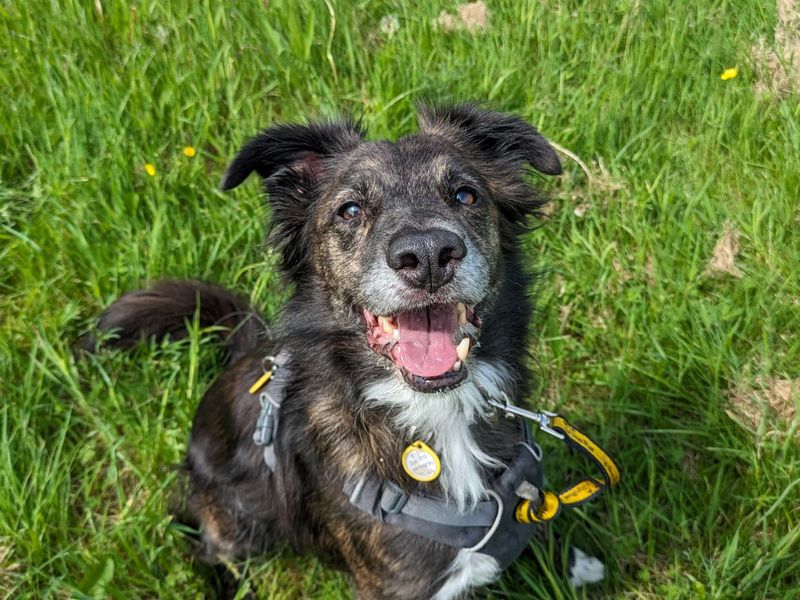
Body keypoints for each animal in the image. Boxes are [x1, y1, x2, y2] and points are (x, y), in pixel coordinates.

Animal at [90, 105, 604, 596]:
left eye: (465, 196)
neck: (434, 410)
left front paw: (576, 564)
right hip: (236, 520)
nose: (429, 255)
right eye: (351, 210)